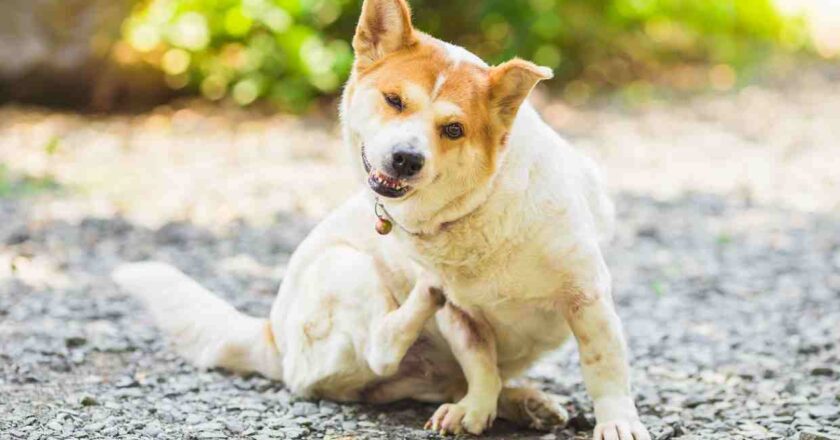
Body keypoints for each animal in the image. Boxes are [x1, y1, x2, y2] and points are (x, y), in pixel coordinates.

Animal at [111, 0, 648, 440]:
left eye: (454, 130)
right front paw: (475, 407)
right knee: (381, 347)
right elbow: (479, 362)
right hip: (346, 268)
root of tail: (271, 337)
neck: (479, 209)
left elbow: (603, 365)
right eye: (394, 100)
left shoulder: (586, 296)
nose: (406, 159)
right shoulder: (461, 317)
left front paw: (616, 422)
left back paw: (523, 403)